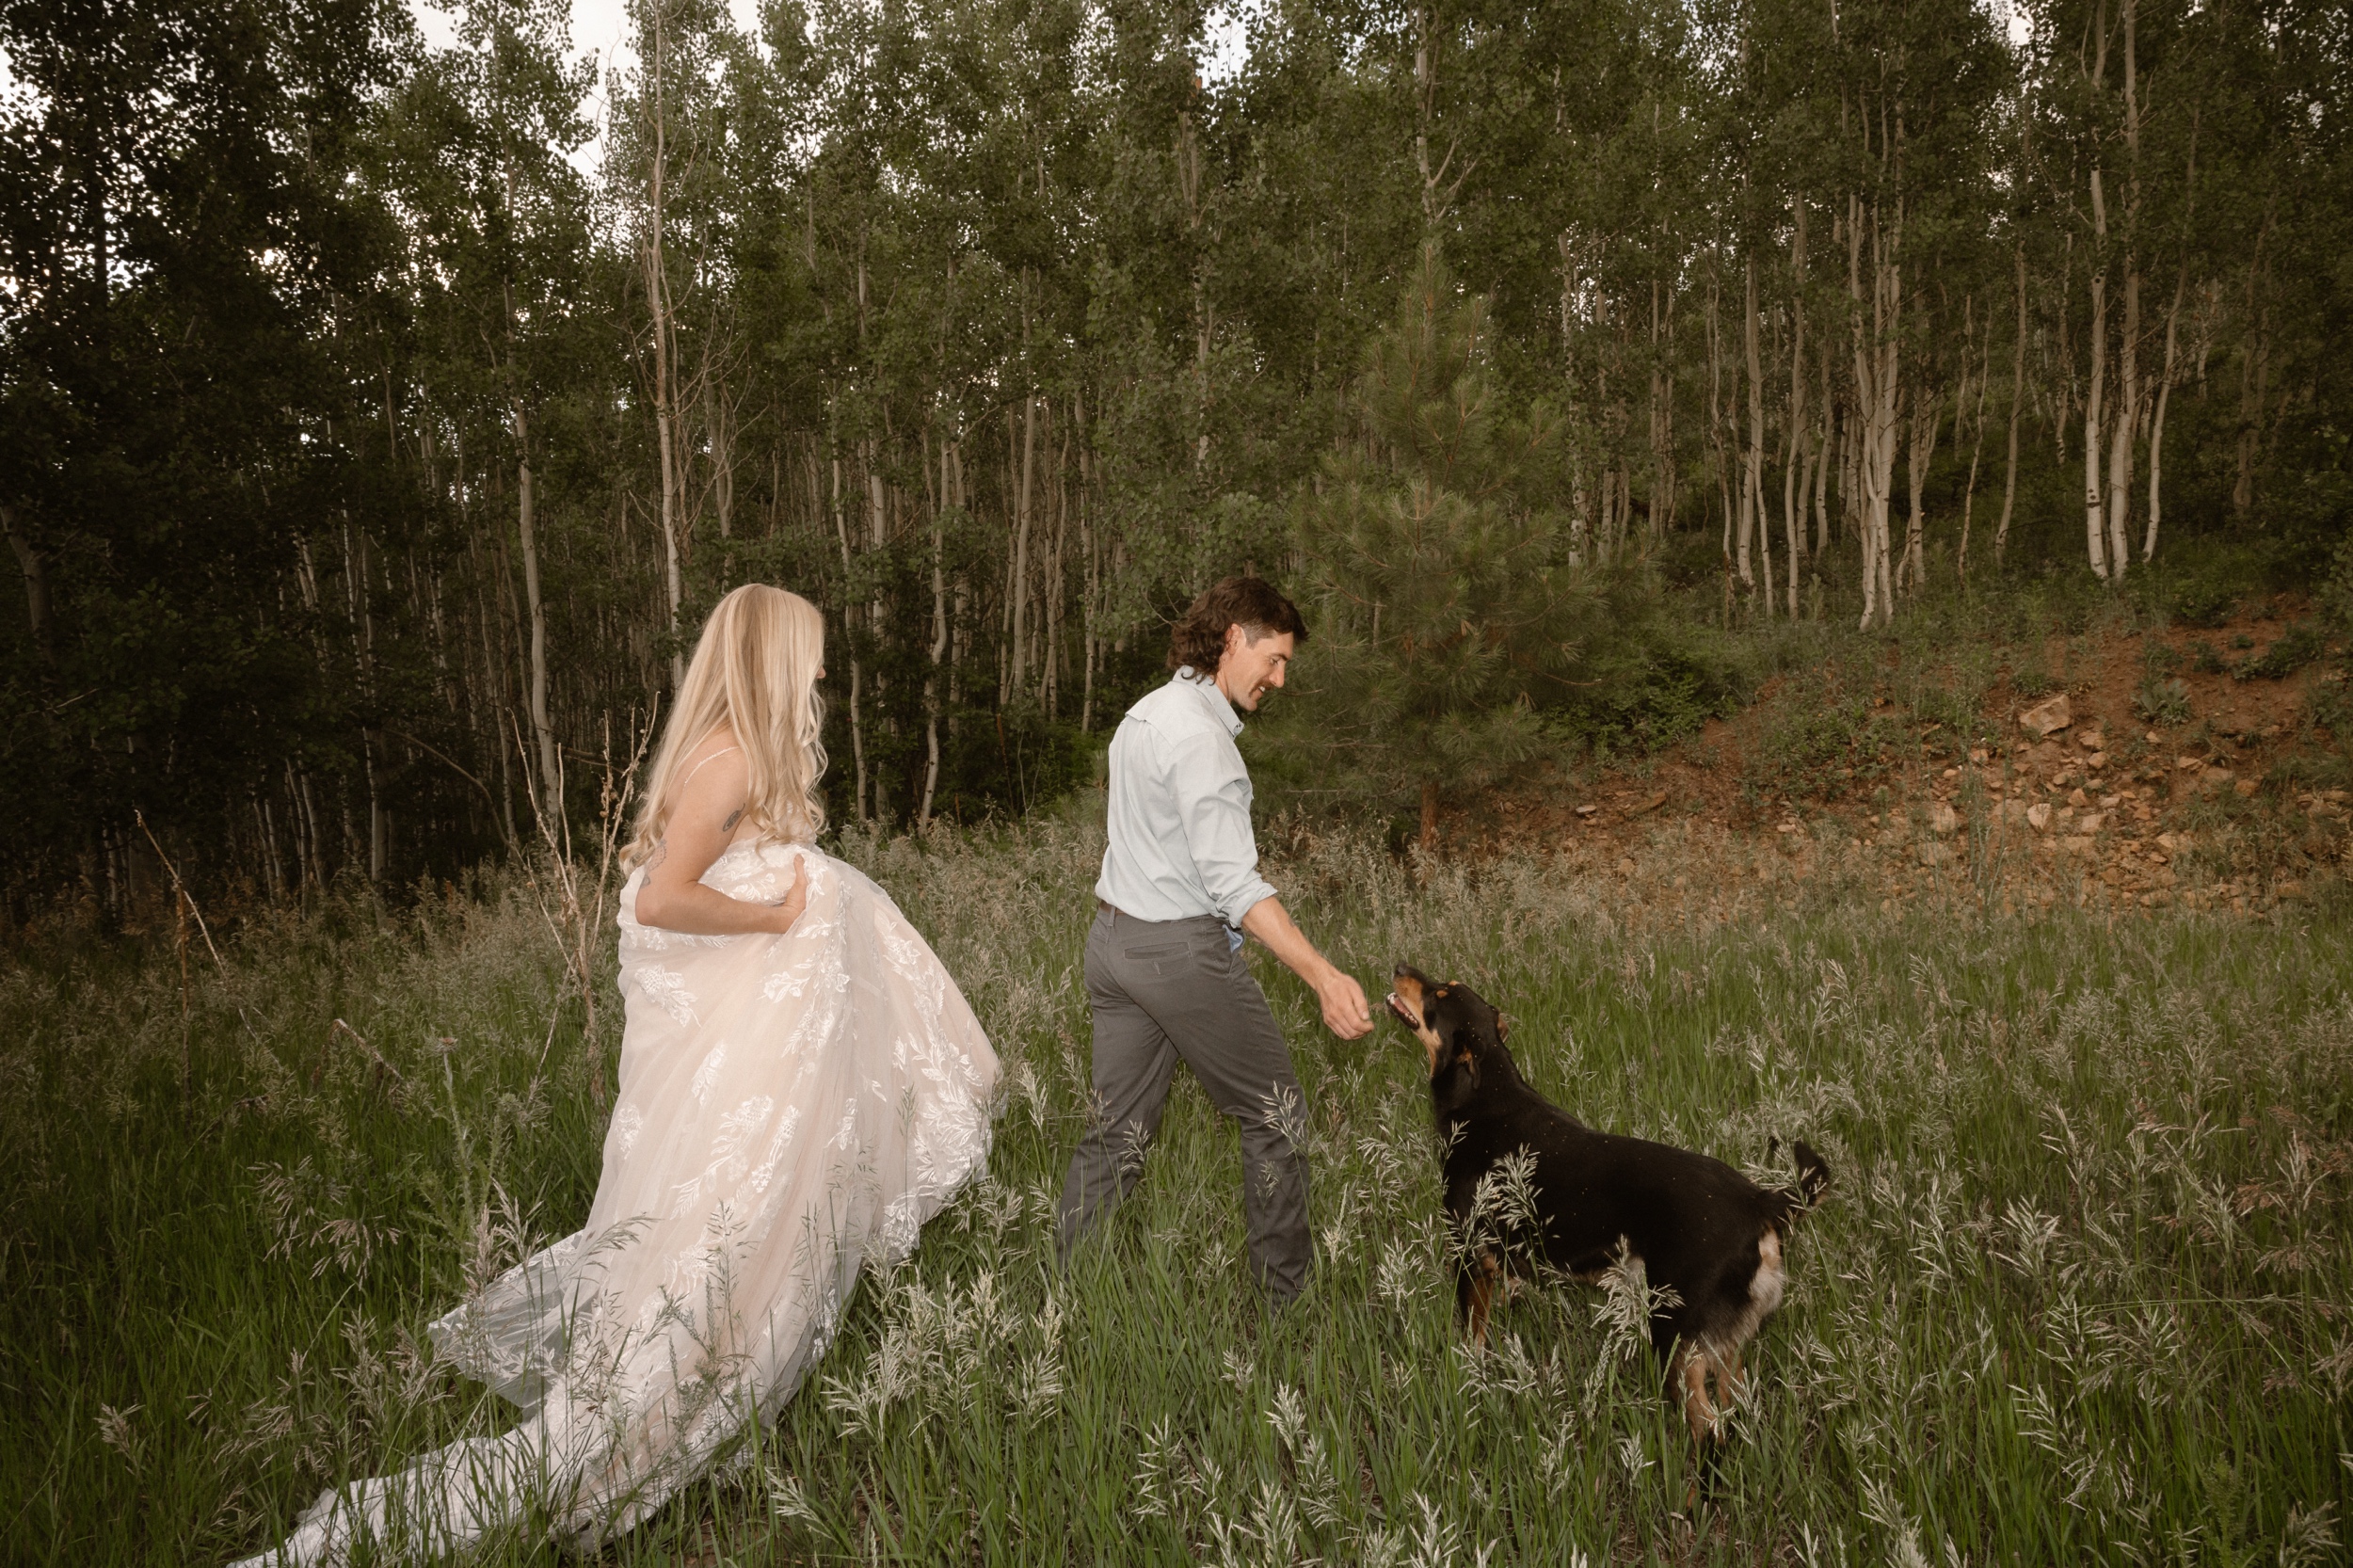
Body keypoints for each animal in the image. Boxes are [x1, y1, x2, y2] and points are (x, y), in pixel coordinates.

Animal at [1384, 965, 1826, 1440]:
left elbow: (1472, 1340)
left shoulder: (1468, 1254)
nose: (1402, 968)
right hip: (1725, 1347)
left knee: (1706, 1427)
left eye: (1439, 994)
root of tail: (1758, 1200)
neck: (1484, 1098)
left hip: (1675, 1338)